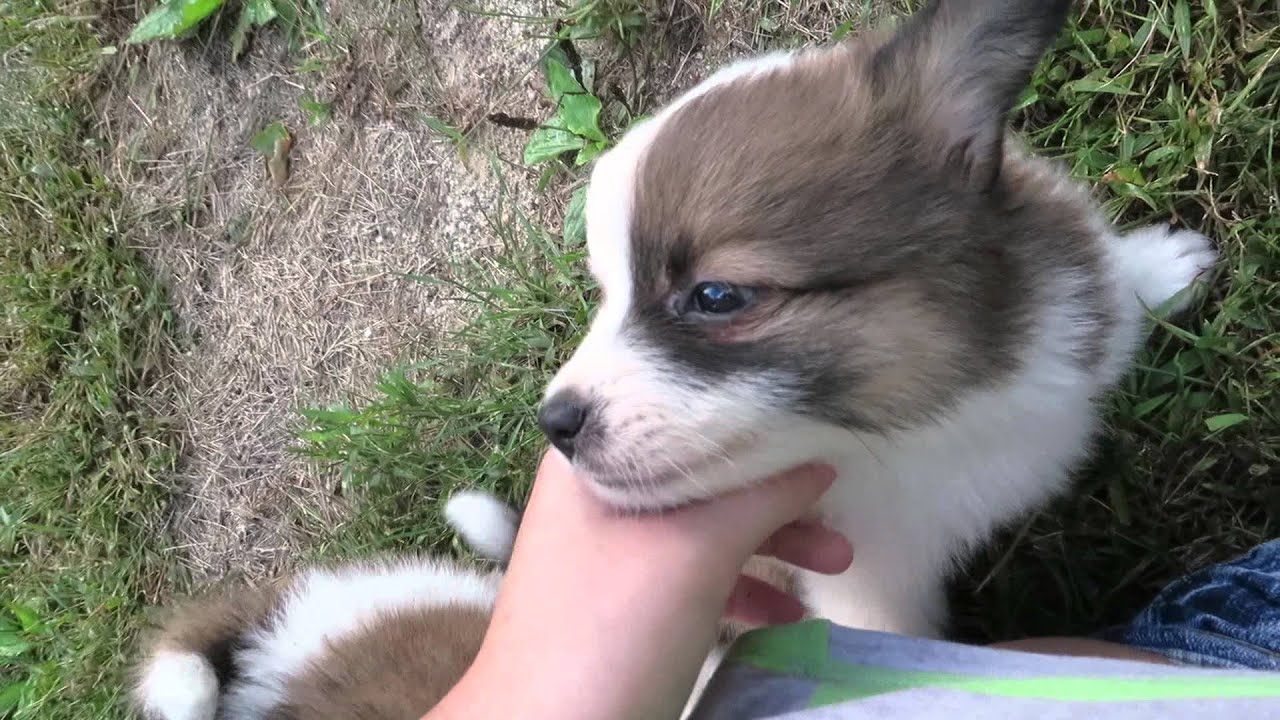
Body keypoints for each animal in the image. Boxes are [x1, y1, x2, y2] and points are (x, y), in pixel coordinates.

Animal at [535, 0, 1213, 635]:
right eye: (607, 292)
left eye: (717, 296)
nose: (556, 423)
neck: (931, 421)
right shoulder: (865, 581)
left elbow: (1112, 295)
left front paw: (1157, 269)